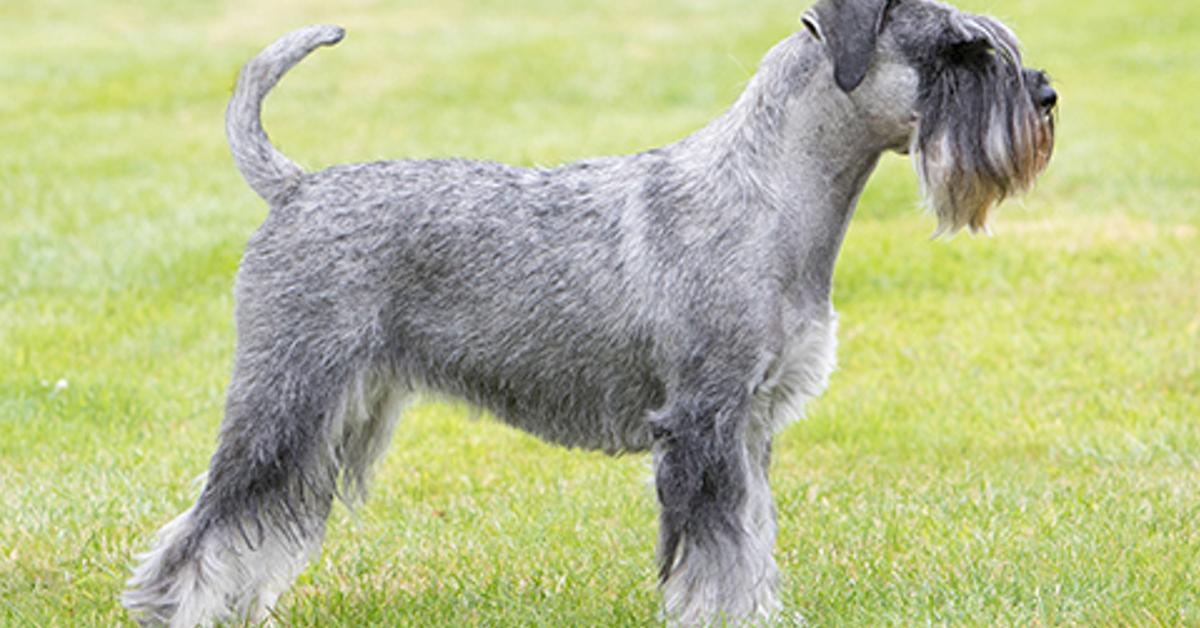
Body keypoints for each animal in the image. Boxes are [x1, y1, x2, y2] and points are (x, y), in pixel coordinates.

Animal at [124, 1, 1051, 624]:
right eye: (959, 50)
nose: (1043, 95)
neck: (771, 194)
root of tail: (295, 187)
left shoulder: (749, 428)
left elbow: (751, 543)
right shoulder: (703, 424)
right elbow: (717, 554)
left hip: (333, 413)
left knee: (259, 522)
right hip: (286, 400)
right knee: (209, 523)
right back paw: (176, 610)